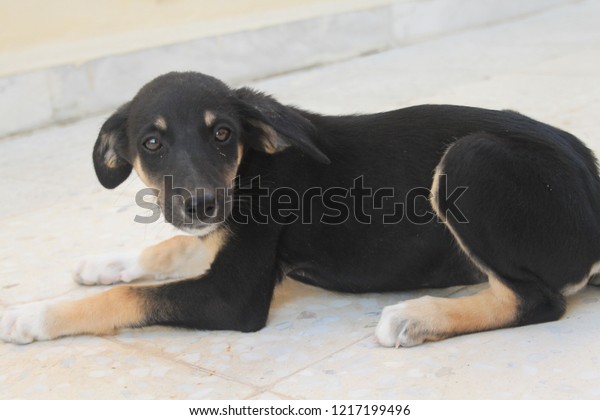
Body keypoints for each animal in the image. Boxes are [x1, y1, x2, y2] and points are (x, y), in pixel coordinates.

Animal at [1, 72, 600, 346]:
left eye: (222, 133)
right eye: (152, 143)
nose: (202, 201)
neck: (250, 164)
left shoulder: (233, 296)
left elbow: (129, 298)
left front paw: (32, 315)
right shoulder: (216, 230)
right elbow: (169, 245)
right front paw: (102, 262)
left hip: (470, 160)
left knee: (538, 301)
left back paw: (417, 317)